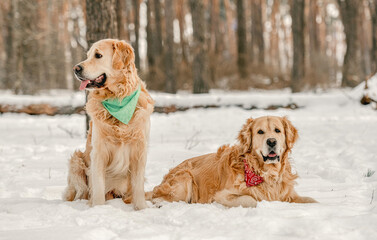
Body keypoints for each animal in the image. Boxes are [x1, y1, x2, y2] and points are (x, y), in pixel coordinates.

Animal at [63, 38, 153, 209]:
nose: (75, 69)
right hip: (76, 161)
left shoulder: (139, 149)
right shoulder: (99, 152)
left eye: (98, 55)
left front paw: (141, 209)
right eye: (88, 55)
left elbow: (138, 187)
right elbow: (98, 186)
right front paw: (98, 208)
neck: (118, 99)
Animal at [148, 116, 316, 206]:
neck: (265, 173)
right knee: (158, 198)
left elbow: (312, 200)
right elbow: (251, 199)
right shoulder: (222, 195)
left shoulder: (289, 194)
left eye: (277, 130)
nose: (271, 141)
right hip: (185, 178)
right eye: (260, 132)